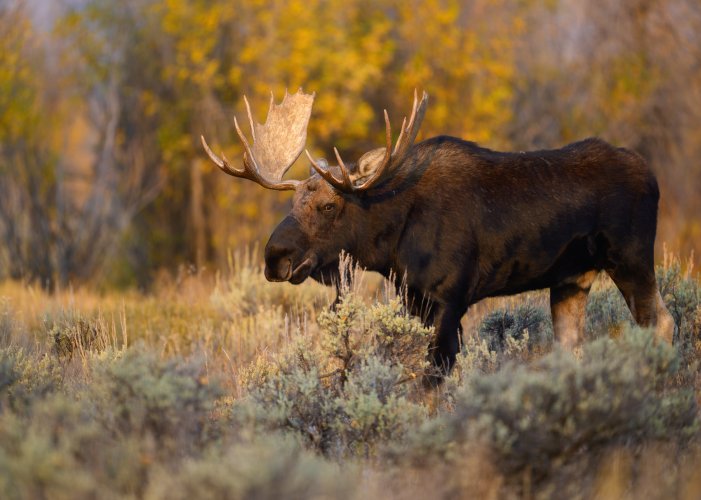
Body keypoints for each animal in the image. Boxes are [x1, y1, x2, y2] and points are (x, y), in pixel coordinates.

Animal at [201, 88, 672, 380]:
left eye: (328, 206)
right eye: (291, 204)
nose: (273, 257)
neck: (390, 247)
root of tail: (653, 176)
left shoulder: (449, 298)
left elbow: (430, 380)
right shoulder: (413, 298)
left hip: (631, 258)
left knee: (662, 322)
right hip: (572, 280)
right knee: (574, 346)